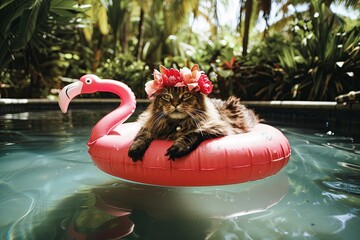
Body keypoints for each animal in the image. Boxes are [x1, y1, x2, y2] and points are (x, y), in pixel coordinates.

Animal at [128, 86, 258, 161]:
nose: (175, 104)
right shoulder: (149, 126)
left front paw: (178, 148)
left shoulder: (216, 127)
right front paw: (135, 150)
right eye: (166, 96)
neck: (176, 123)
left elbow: (192, 134)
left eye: (186, 95)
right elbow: (141, 136)